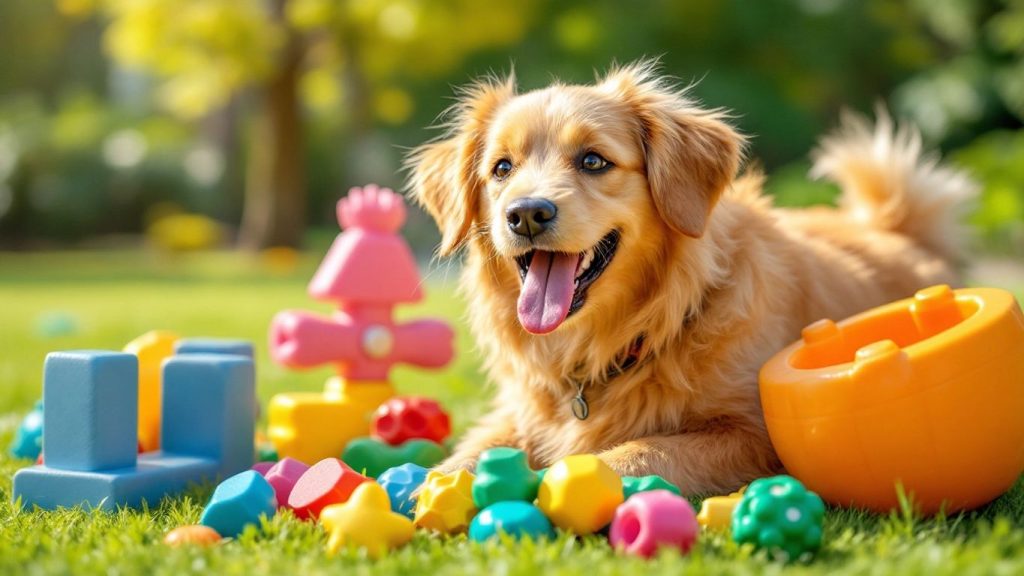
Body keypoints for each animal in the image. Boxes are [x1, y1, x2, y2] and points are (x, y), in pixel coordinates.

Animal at [407, 61, 974, 494]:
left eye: (593, 160)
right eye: (502, 168)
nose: (525, 214)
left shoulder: (752, 434)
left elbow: (640, 450)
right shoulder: (517, 413)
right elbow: (471, 450)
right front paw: (429, 484)